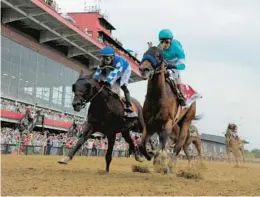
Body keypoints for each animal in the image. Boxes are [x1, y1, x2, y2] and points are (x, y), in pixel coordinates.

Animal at [138, 45, 203, 173]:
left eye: (159, 56)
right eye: (145, 53)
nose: (144, 69)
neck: (157, 97)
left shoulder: (167, 122)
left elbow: (163, 147)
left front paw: (161, 163)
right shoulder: (149, 124)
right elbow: (142, 145)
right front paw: (150, 157)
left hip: (186, 121)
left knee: (179, 145)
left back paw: (170, 167)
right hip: (176, 124)